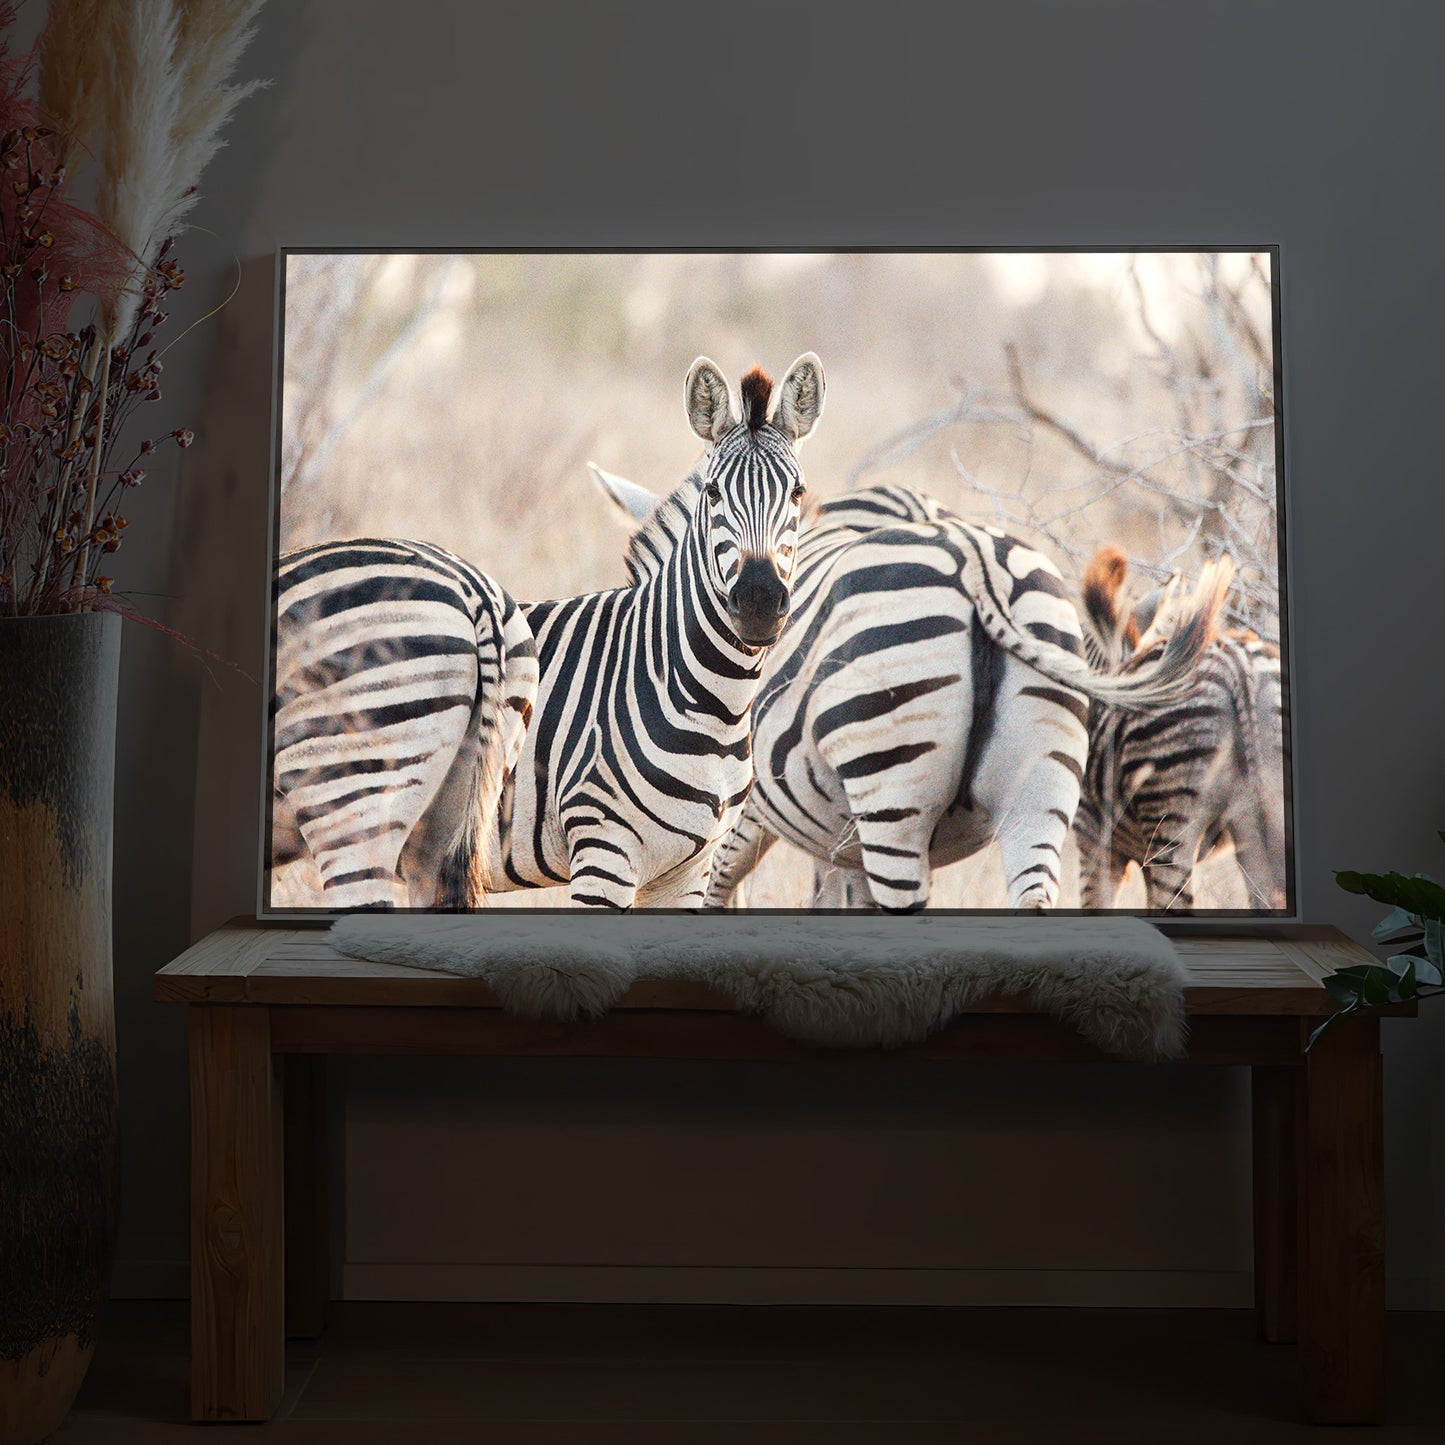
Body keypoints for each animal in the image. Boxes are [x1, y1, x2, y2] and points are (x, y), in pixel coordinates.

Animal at [586, 468, 1231, 911]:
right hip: (1043, 791)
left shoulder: (740, 817)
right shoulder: (837, 839)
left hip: (893, 790)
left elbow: (721, 891)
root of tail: (978, 563)